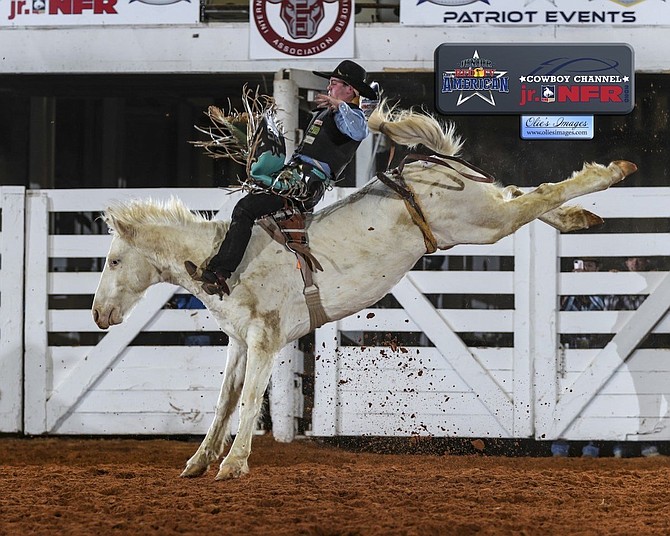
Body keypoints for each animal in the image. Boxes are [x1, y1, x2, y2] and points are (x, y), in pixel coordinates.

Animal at [92, 102, 636, 480]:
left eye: (114, 259)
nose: (99, 314)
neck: (223, 255)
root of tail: (424, 167)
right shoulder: (240, 342)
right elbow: (225, 400)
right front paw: (199, 462)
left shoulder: (265, 339)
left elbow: (248, 399)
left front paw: (233, 464)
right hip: (479, 217)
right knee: (523, 196)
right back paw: (579, 216)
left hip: (481, 223)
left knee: (535, 195)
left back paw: (610, 173)